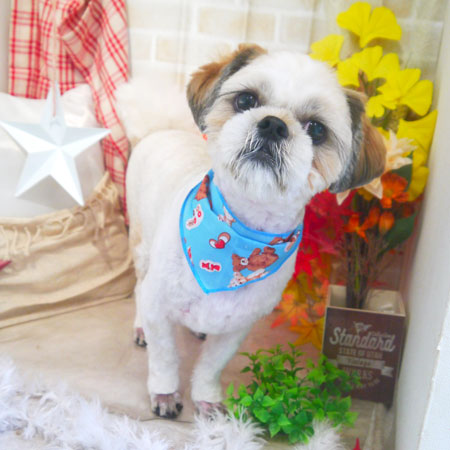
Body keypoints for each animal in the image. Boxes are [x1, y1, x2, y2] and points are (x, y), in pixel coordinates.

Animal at [124, 44, 385, 419]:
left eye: (317, 130)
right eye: (246, 100)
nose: (274, 124)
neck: (240, 232)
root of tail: (161, 130)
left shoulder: (237, 327)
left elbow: (211, 366)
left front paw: (206, 399)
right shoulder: (159, 308)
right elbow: (164, 358)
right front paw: (165, 394)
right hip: (141, 247)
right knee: (137, 288)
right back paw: (139, 325)